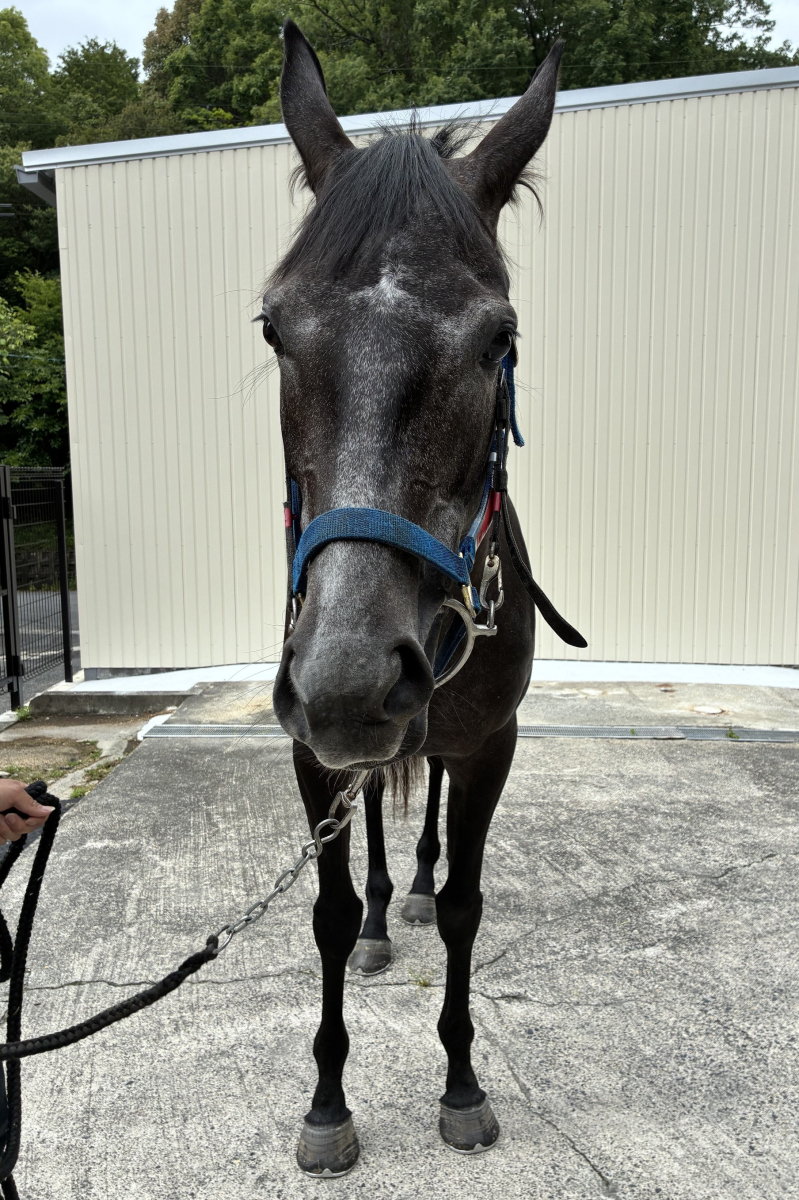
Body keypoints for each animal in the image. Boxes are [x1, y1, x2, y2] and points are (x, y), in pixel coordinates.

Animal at [266, 20, 584, 1176]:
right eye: (274, 329)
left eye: (501, 340)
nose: (352, 682)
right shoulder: (312, 750)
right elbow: (323, 906)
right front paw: (326, 1102)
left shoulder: (489, 742)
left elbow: (461, 908)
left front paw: (460, 1082)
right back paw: (373, 924)